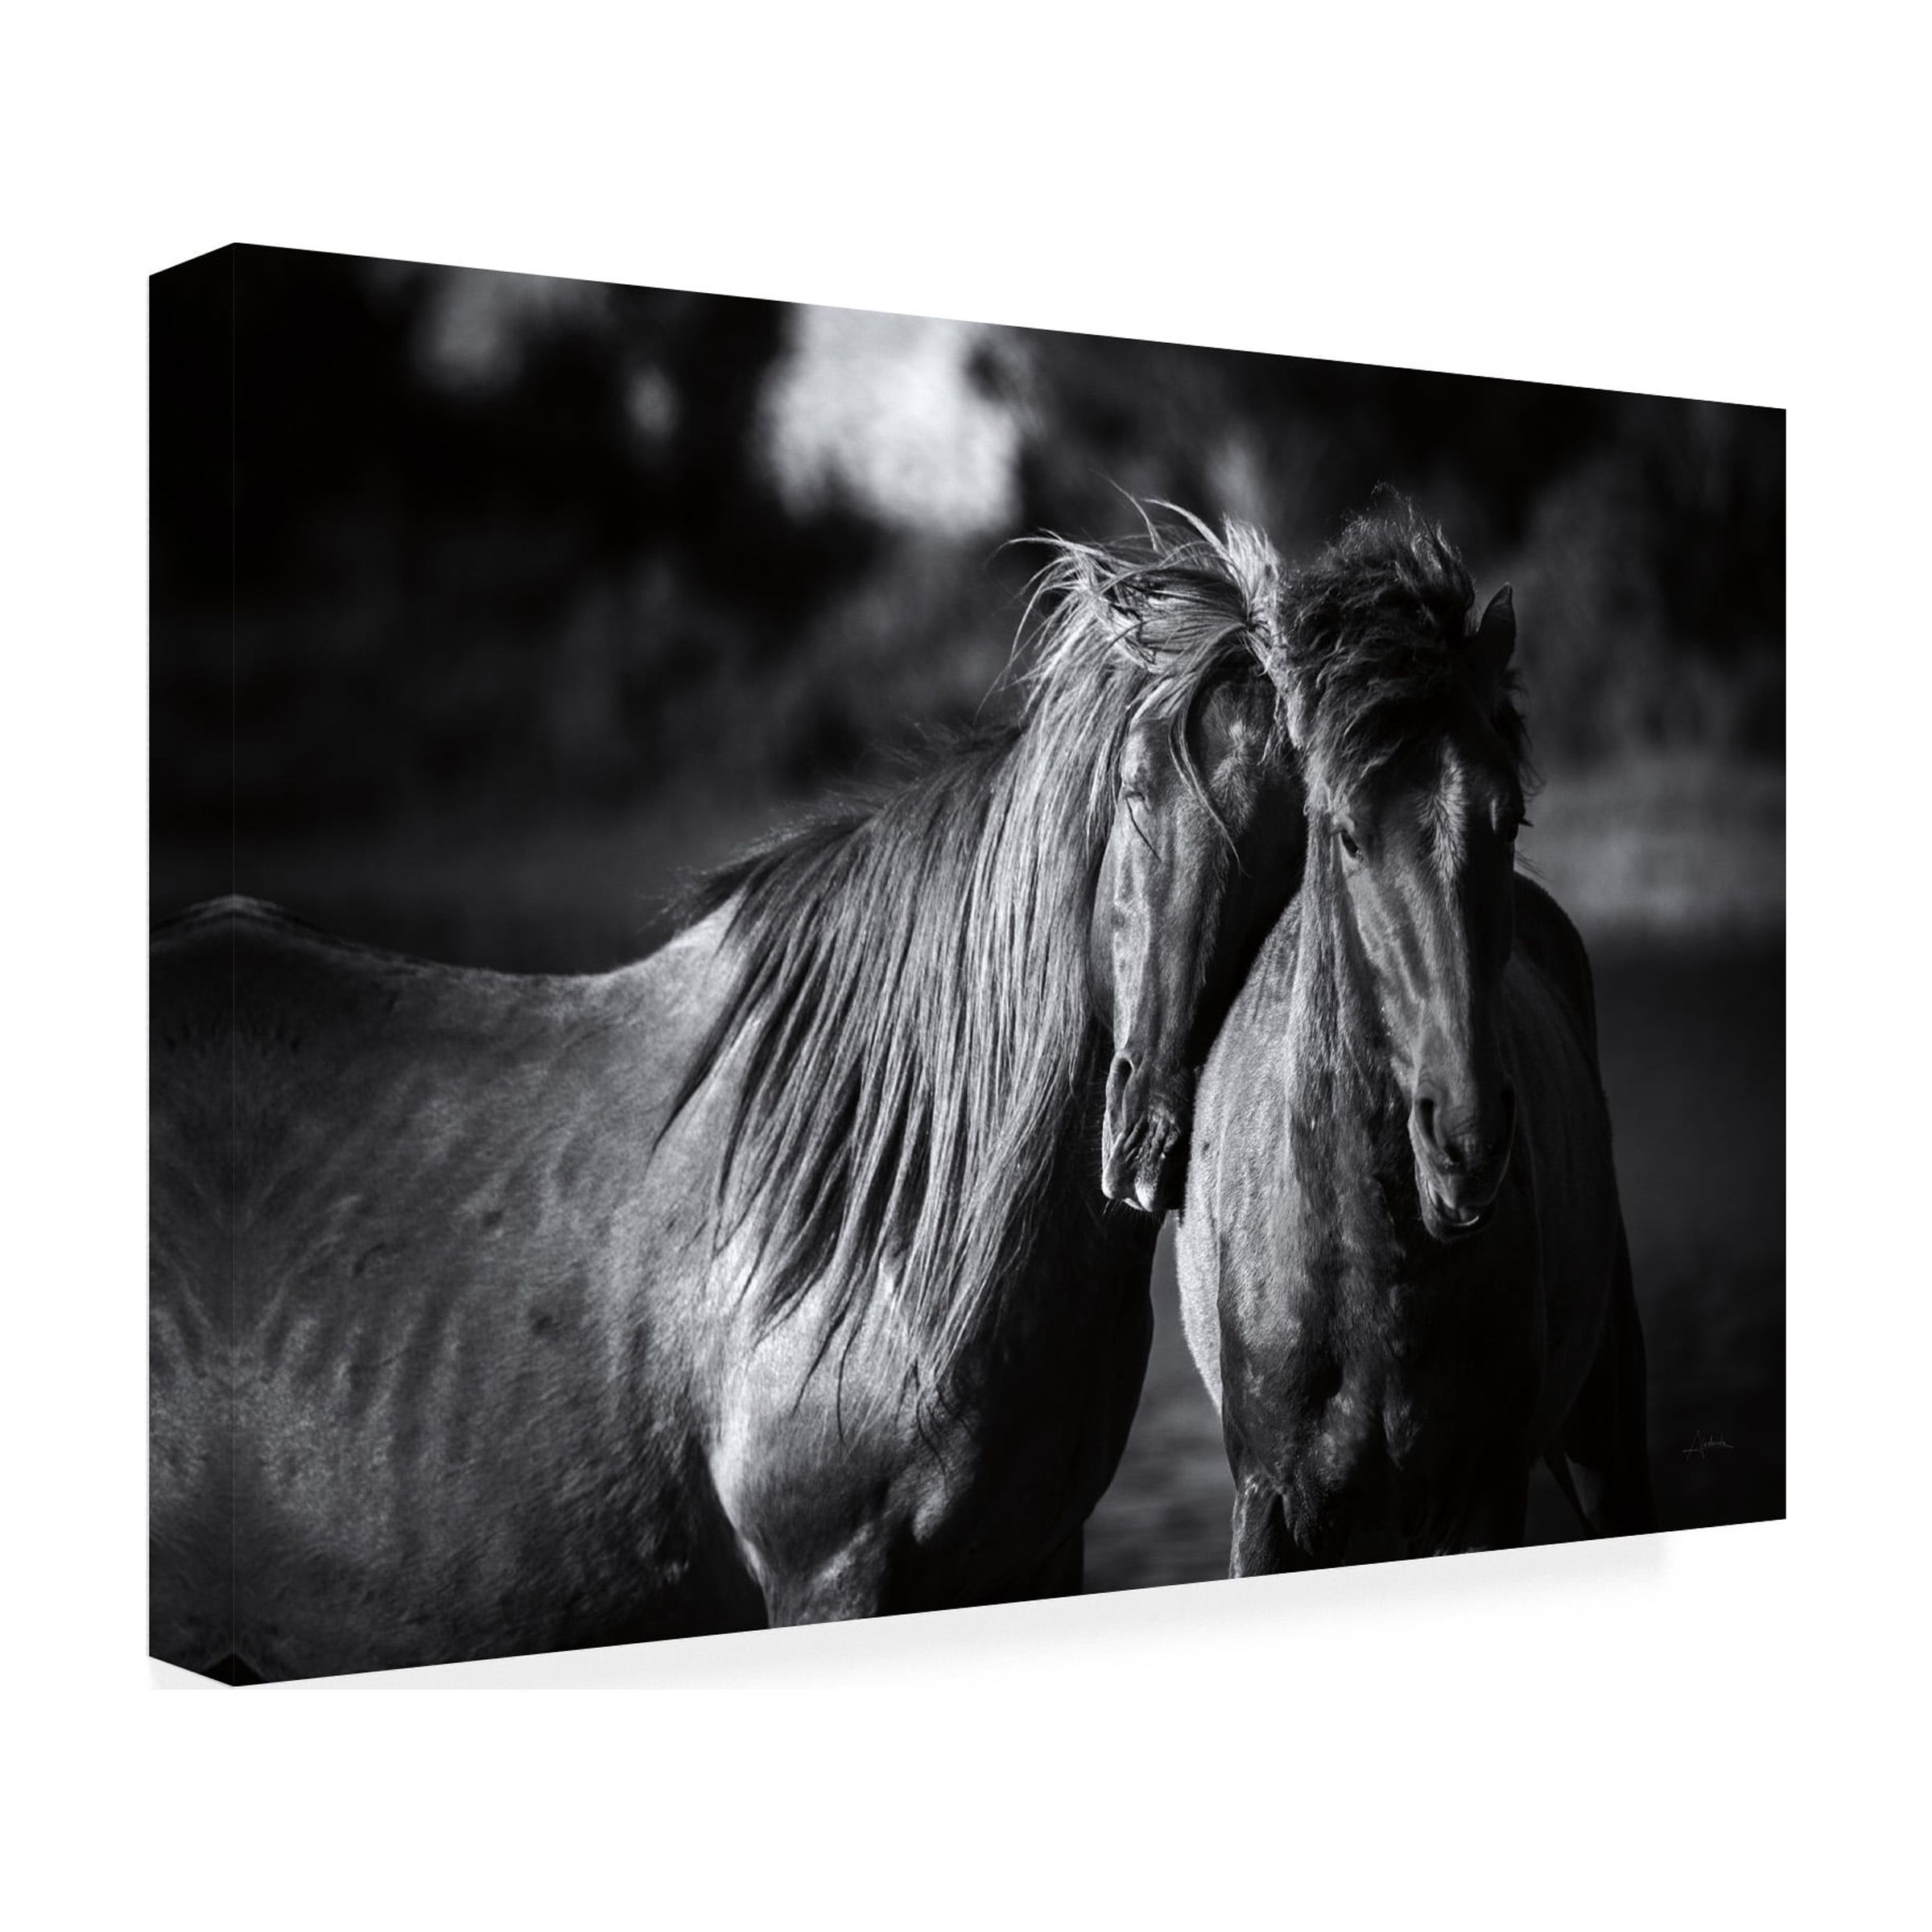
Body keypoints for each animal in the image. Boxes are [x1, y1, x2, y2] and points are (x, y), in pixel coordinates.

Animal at [149, 512, 1307, 1680]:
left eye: (1295, 837)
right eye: (1134, 790)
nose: (1147, 1144)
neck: (893, 1202)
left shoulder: (1035, 1560)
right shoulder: (831, 1575)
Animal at [1172, 501, 1656, 1570]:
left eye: (1509, 820)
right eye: (1347, 833)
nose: (1467, 1138)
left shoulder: (1483, 1500)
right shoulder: (1265, 1507)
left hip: (1607, 1436)